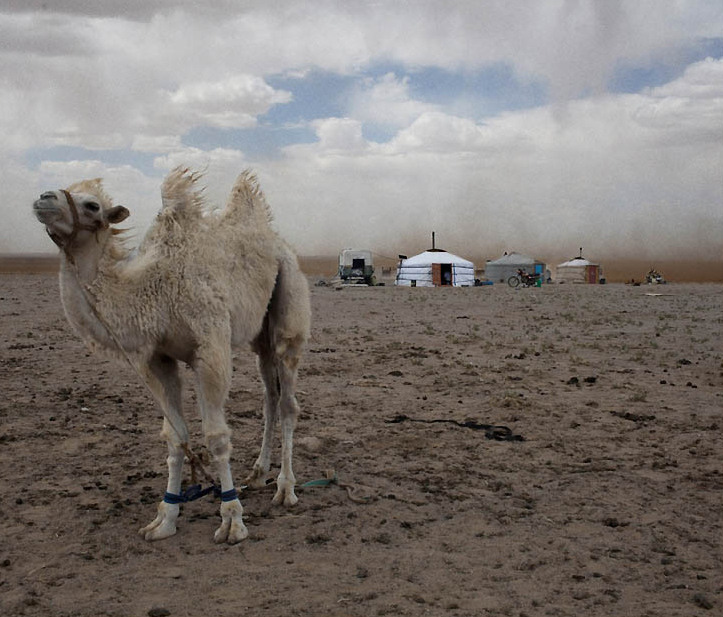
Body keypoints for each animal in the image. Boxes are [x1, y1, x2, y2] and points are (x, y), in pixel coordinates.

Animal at [32, 166, 310, 540]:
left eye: (92, 205)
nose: (43, 198)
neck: (152, 291)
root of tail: (280, 244)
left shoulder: (210, 347)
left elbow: (216, 436)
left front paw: (232, 519)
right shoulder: (156, 359)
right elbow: (175, 438)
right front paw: (165, 518)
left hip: (289, 307)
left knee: (288, 402)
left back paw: (285, 488)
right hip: (260, 334)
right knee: (269, 394)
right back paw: (257, 473)